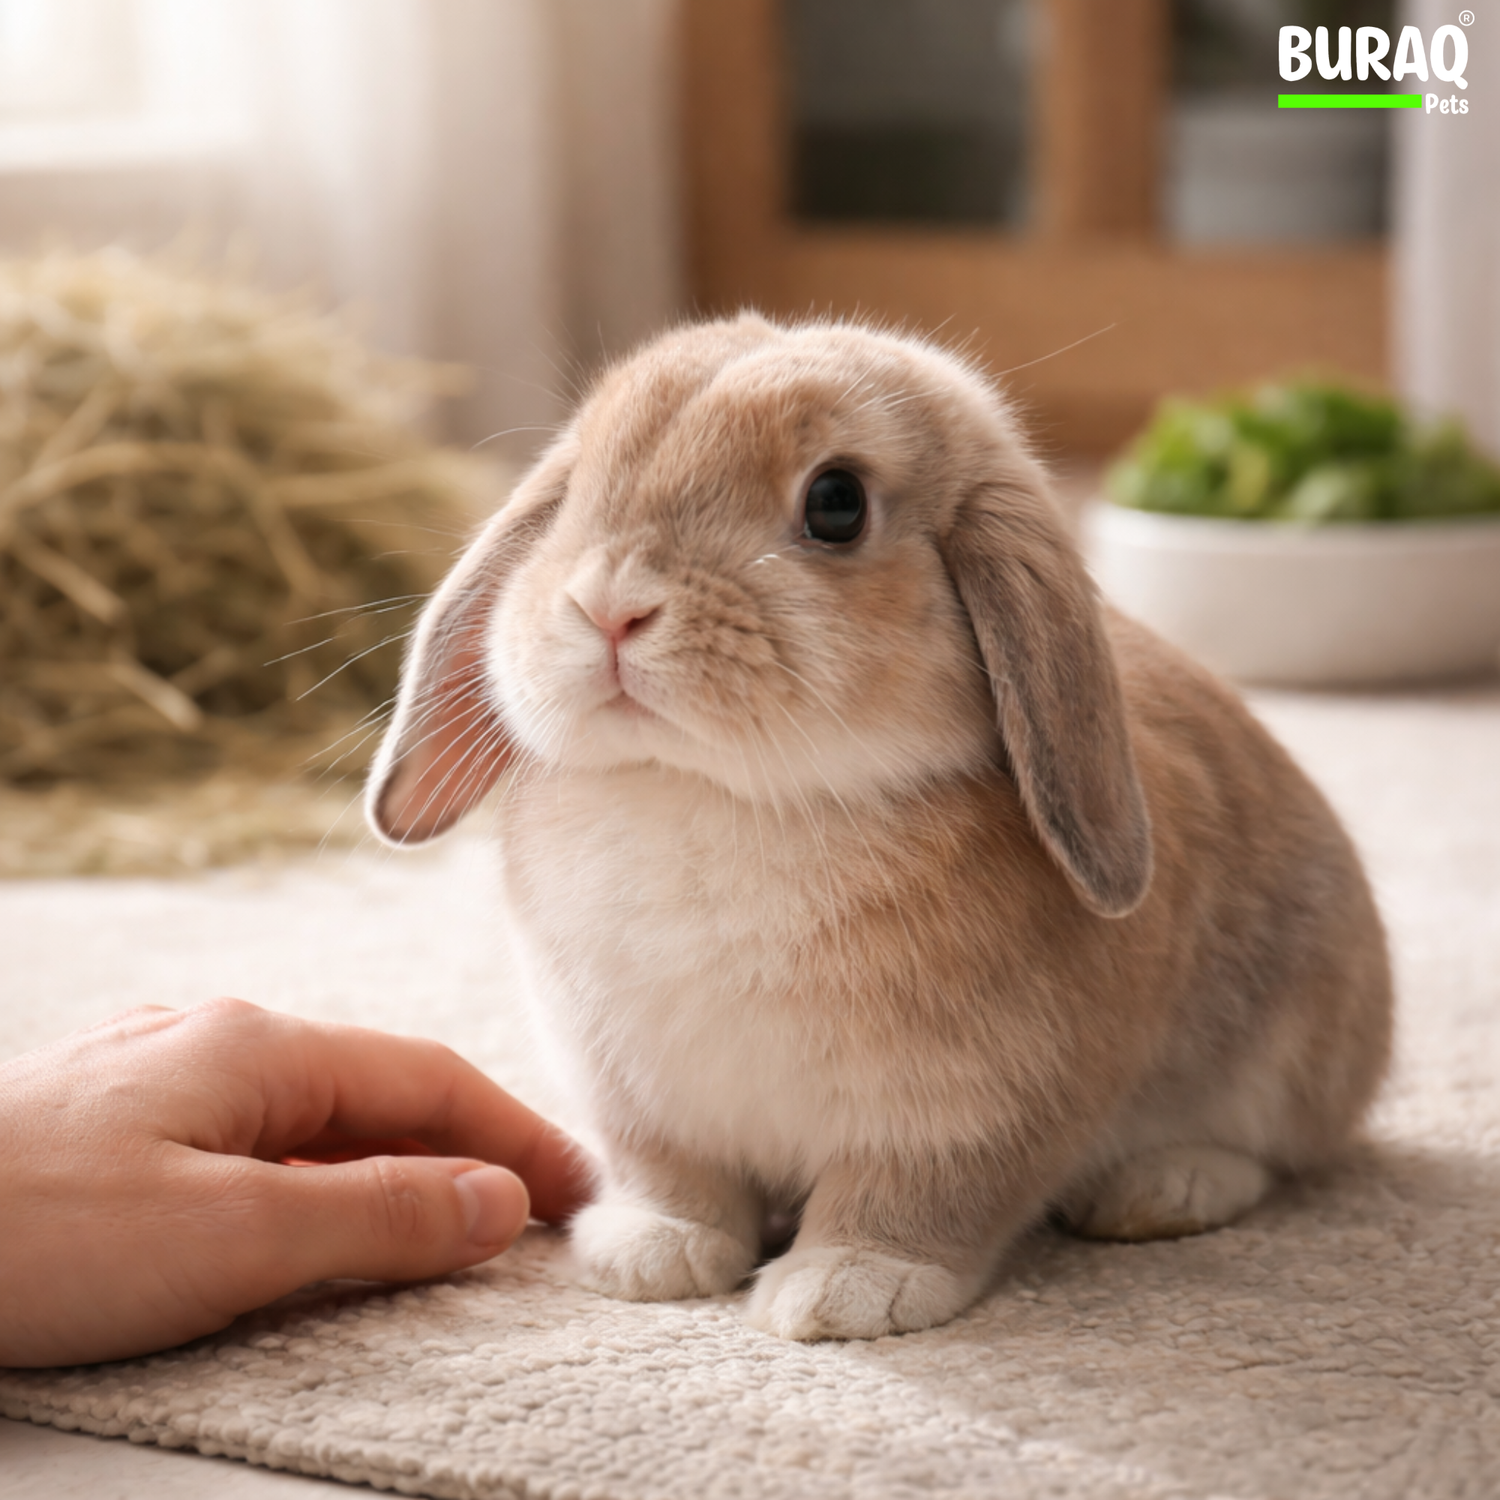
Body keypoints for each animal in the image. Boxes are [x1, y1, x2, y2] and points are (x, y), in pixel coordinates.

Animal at [366, 314, 1393, 1341]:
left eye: (836, 504)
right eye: (577, 491)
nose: (610, 606)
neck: (719, 796)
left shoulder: (973, 1113)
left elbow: (918, 1196)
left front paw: (848, 1290)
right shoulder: (637, 1099)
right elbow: (672, 1177)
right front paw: (650, 1255)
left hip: (1287, 1052)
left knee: (1273, 1150)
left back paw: (1165, 1189)